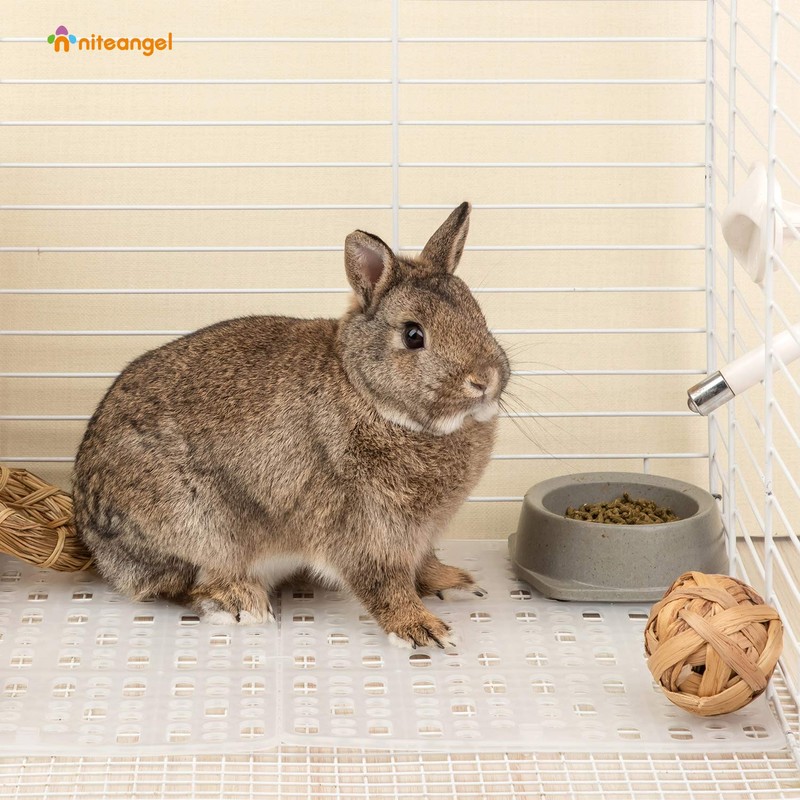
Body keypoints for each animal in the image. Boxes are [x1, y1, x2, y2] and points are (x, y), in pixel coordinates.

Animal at [72, 202, 510, 649]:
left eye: (478, 315)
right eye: (413, 335)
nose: (484, 379)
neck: (367, 393)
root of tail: (91, 537)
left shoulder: (417, 537)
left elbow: (422, 564)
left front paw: (454, 583)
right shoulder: (361, 528)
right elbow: (382, 583)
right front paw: (422, 630)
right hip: (199, 528)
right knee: (180, 585)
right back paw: (240, 603)